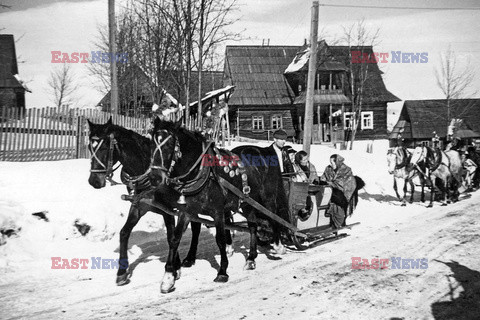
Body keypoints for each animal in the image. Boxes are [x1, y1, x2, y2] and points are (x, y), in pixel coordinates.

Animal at [87, 117, 219, 284]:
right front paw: (122, 272)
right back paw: (190, 258)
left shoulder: (168, 210)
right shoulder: (138, 205)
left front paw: (173, 269)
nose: (94, 181)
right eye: (89, 147)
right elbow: (124, 232)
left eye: (104, 147)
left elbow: (171, 237)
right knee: (196, 226)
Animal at [150, 117, 290, 292]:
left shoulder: (218, 212)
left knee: (273, 216)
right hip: (247, 202)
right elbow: (175, 238)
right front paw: (169, 277)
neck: (203, 172)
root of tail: (265, 150)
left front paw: (222, 271)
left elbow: (221, 239)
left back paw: (278, 245)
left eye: (169, 145)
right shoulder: (186, 212)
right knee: (252, 226)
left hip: (267, 198)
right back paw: (251, 258)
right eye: (152, 143)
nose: (154, 178)